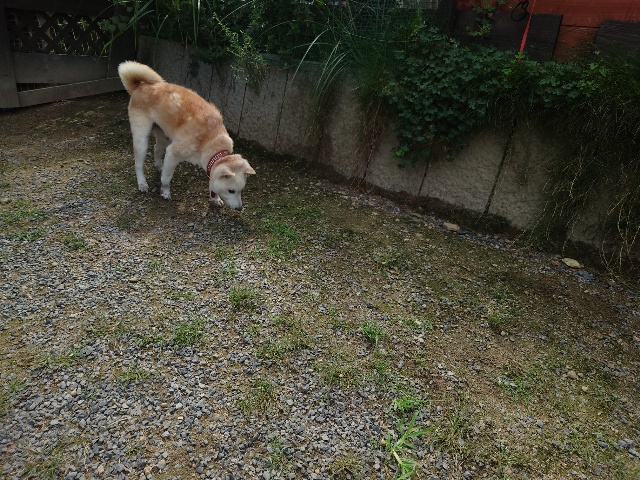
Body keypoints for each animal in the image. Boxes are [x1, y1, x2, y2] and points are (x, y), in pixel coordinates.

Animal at [117, 61, 255, 210]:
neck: (211, 141)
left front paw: (215, 198)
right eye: (231, 191)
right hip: (142, 139)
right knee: (138, 163)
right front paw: (165, 192)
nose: (239, 208)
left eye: (241, 190)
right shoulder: (173, 152)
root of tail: (140, 86)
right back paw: (142, 183)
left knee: (156, 149)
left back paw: (159, 166)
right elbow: (166, 178)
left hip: (164, 136)